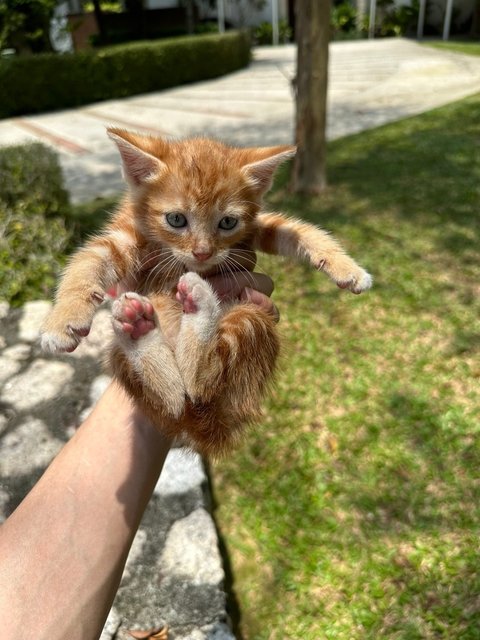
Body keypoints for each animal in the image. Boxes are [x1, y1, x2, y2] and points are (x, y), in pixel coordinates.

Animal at [41, 129, 372, 456]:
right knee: (177, 396)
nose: (202, 253)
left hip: (250, 315)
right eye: (176, 219)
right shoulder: (124, 234)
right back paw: (144, 327)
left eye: (227, 222)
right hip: (126, 355)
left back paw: (186, 312)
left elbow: (294, 230)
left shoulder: (253, 227)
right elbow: (88, 262)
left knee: (194, 386)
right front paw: (63, 320)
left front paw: (348, 268)